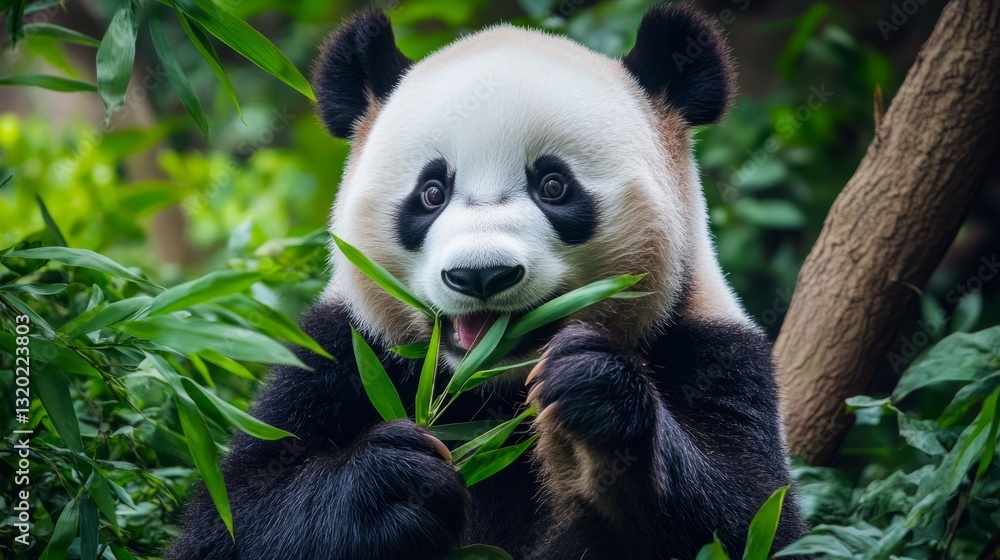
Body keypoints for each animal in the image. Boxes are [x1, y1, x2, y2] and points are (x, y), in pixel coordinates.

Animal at [168, 4, 808, 560]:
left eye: (554, 185)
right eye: (431, 192)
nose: (481, 274)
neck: (487, 390)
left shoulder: (712, 346)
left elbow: (747, 517)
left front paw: (592, 402)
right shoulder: (338, 355)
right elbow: (235, 519)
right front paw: (393, 487)